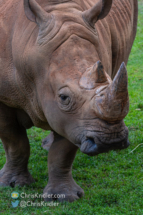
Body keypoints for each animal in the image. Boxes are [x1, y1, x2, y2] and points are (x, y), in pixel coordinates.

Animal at [0, 0, 138, 202]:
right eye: (64, 97)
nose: (111, 141)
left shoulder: (76, 119)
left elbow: (63, 151)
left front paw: (63, 197)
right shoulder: (5, 98)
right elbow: (13, 140)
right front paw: (13, 184)